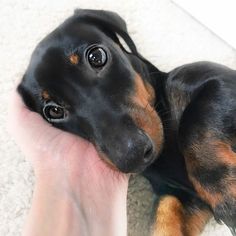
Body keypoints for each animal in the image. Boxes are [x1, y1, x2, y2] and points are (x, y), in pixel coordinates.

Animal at [18, 8, 236, 234]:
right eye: (53, 110)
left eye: (97, 56)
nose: (133, 156)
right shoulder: (179, 196)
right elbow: (162, 219)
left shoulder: (222, 82)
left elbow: (192, 124)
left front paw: (225, 191)